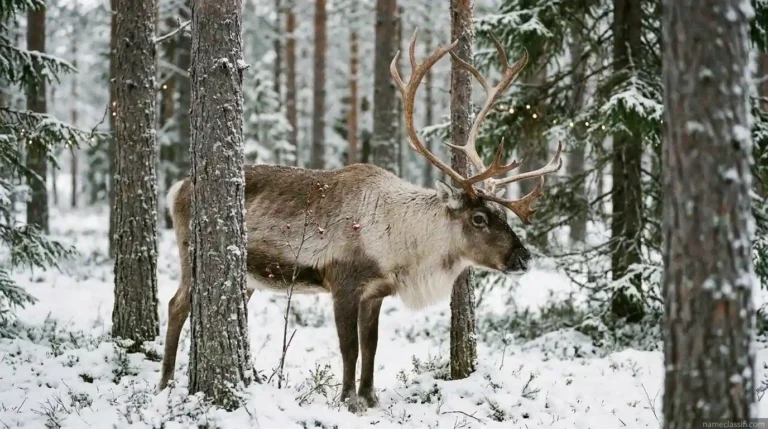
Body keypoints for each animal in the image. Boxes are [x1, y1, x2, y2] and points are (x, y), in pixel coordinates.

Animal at [157, 29, 562, 413]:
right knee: (176, 305)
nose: (524, 257)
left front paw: (370, 397)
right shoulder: (343, 283)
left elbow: (371, 346)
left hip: (249, 277)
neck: (398, 243)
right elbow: (348, 347)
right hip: (191, 257)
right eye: (479, 218)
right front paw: (348, 399)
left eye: (503, 214)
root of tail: (176, 188)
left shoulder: (375, 293)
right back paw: (165, 382)